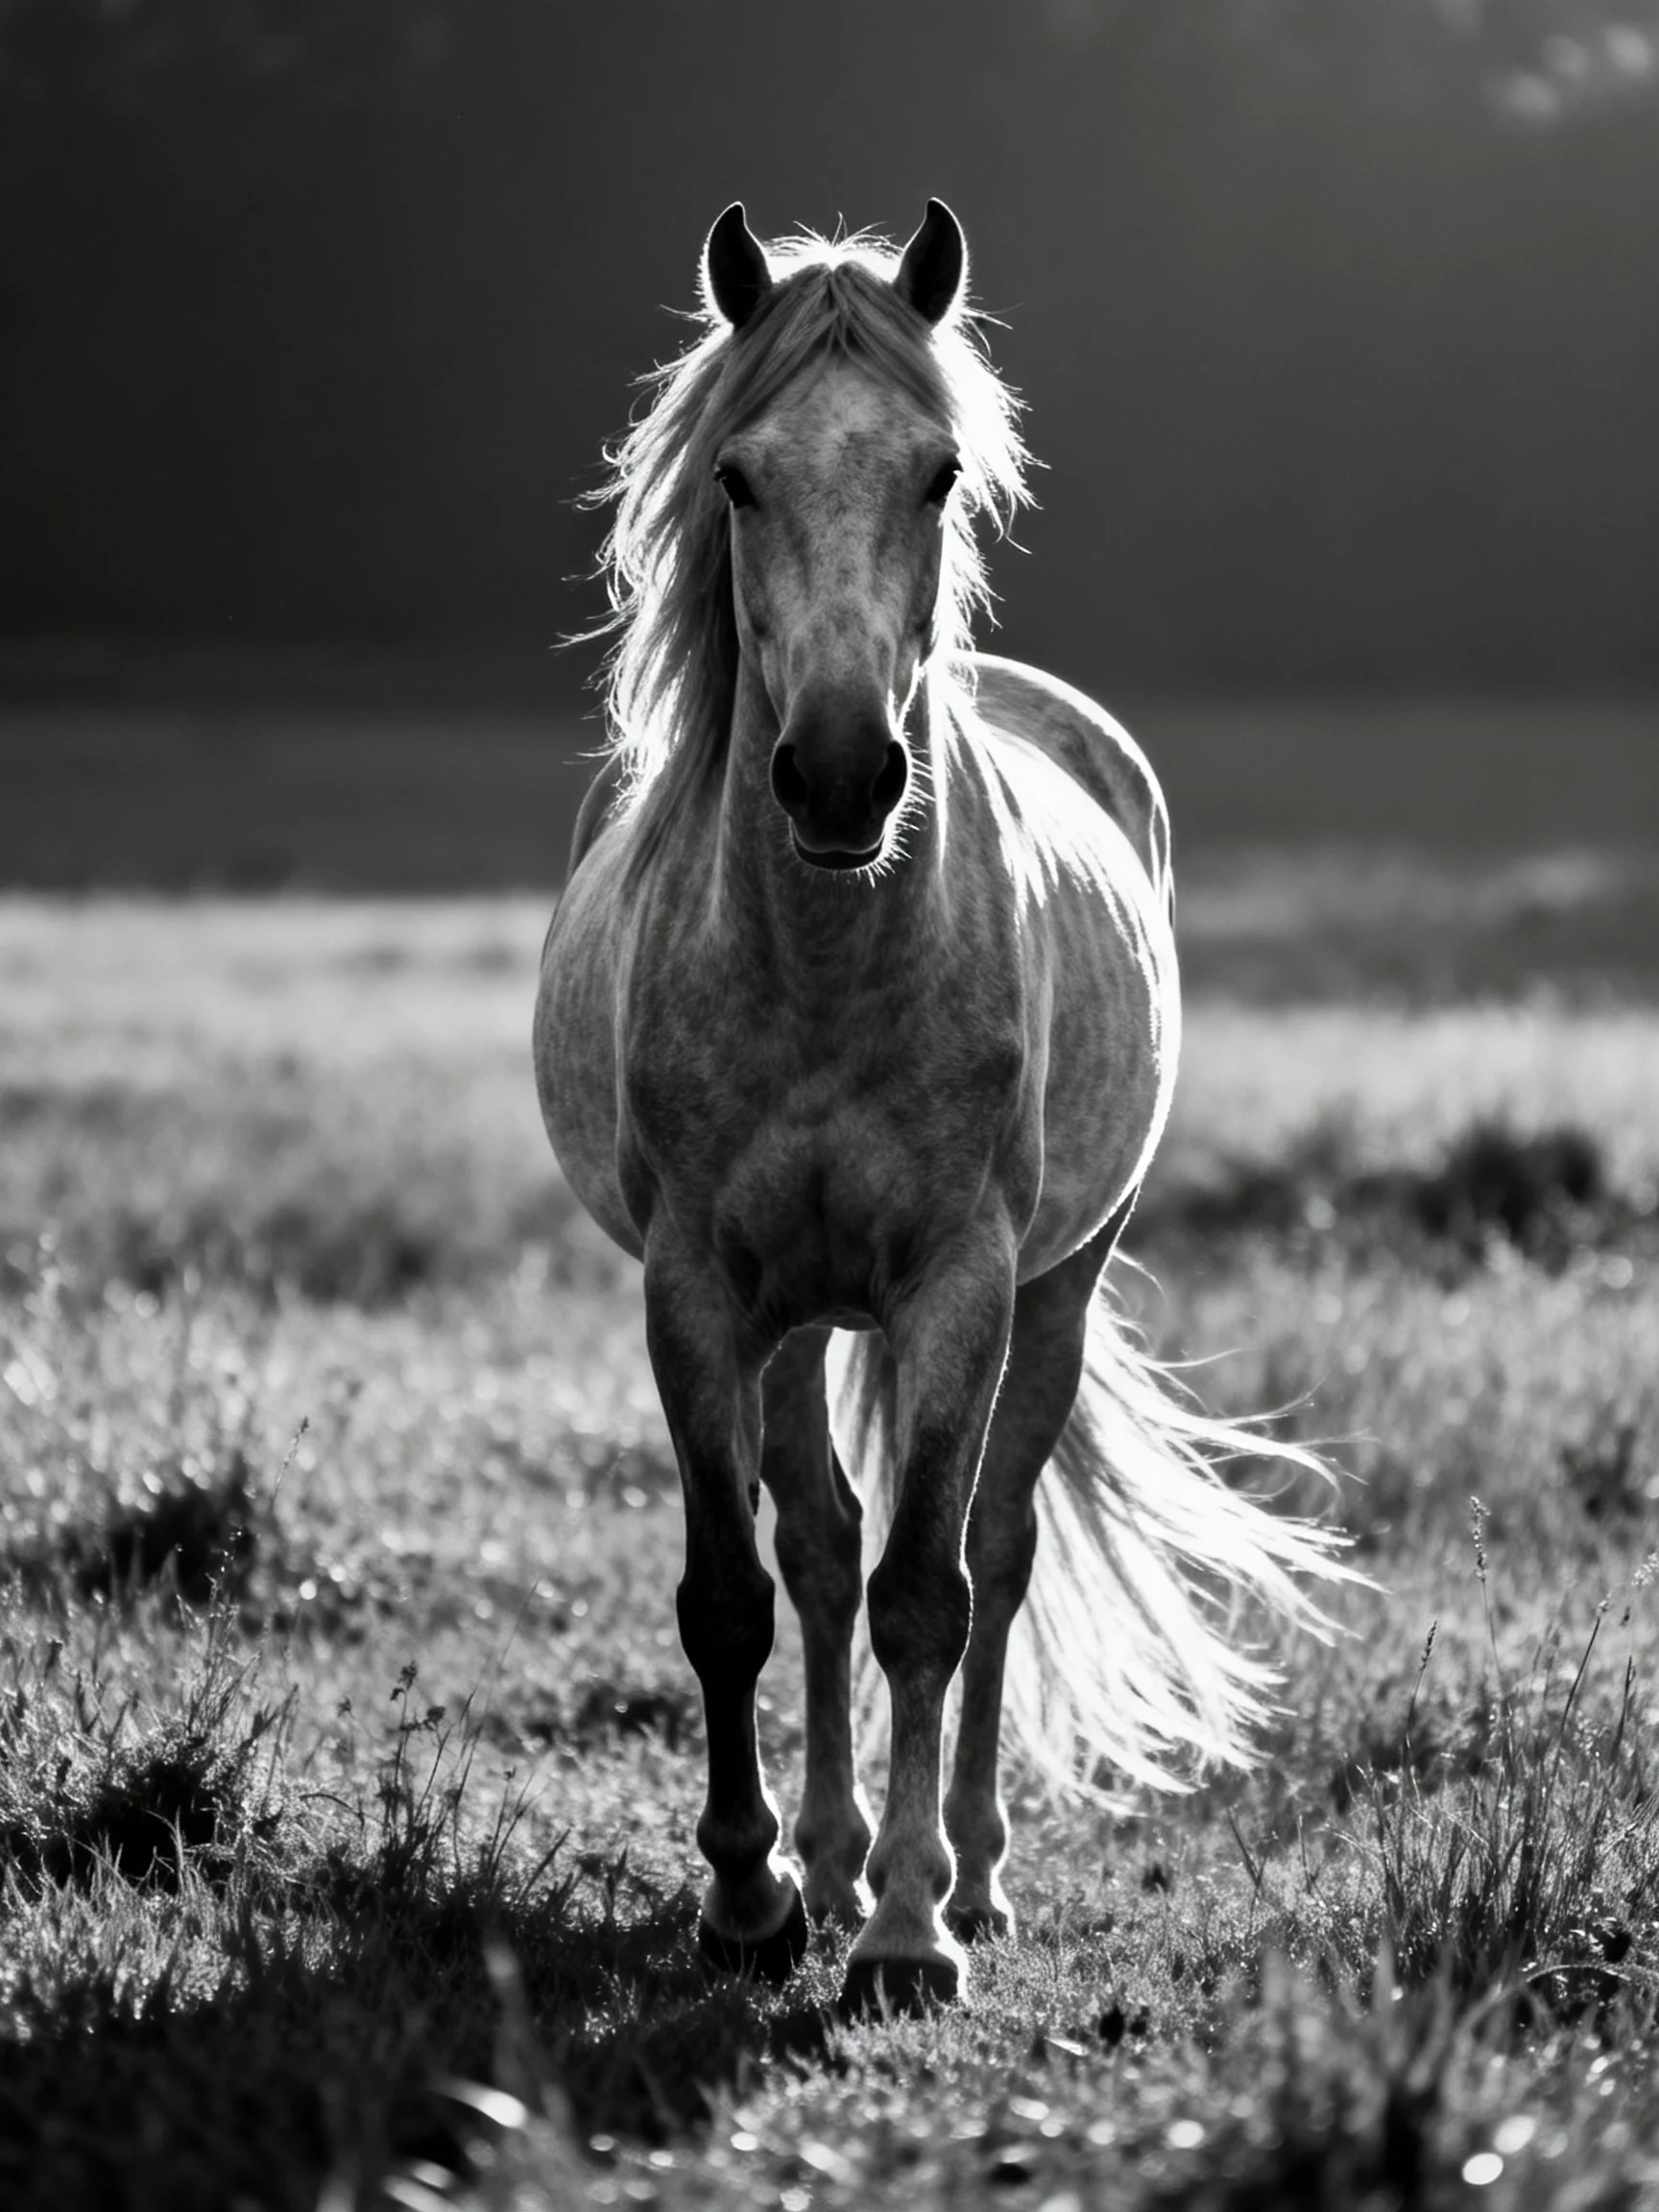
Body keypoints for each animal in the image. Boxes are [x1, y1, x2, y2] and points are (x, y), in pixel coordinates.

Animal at [535, 200, 1351, 2012]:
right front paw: (752, 1893)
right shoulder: (695, 1288)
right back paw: (826, 1860)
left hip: (1053, 1288)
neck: (831, 957)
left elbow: (931, 1589)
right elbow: (737, 1593)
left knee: (994, 1542)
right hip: (792, 1318)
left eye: (937, 472)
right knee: (820, 1547)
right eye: (737, 476)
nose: (844, 778)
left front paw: (909, 1935)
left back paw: (963, 1870)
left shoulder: (962, 1284)